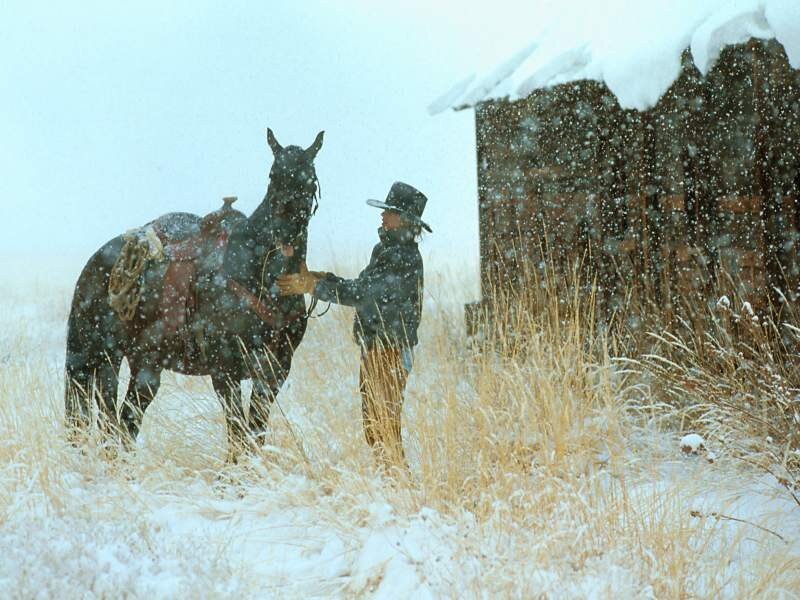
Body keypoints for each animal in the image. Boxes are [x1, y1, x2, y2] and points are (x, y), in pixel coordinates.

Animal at [65, 128, 324, 452]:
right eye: (273, 176)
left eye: (310, 179)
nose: (284, 235)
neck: (257, 277)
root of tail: (95, 260)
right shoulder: (225, 371)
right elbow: (238, 432)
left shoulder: (275, 372)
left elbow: (255, 431)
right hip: (101, 355)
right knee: (109, 421)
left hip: (142, 364)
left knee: (124, 422)